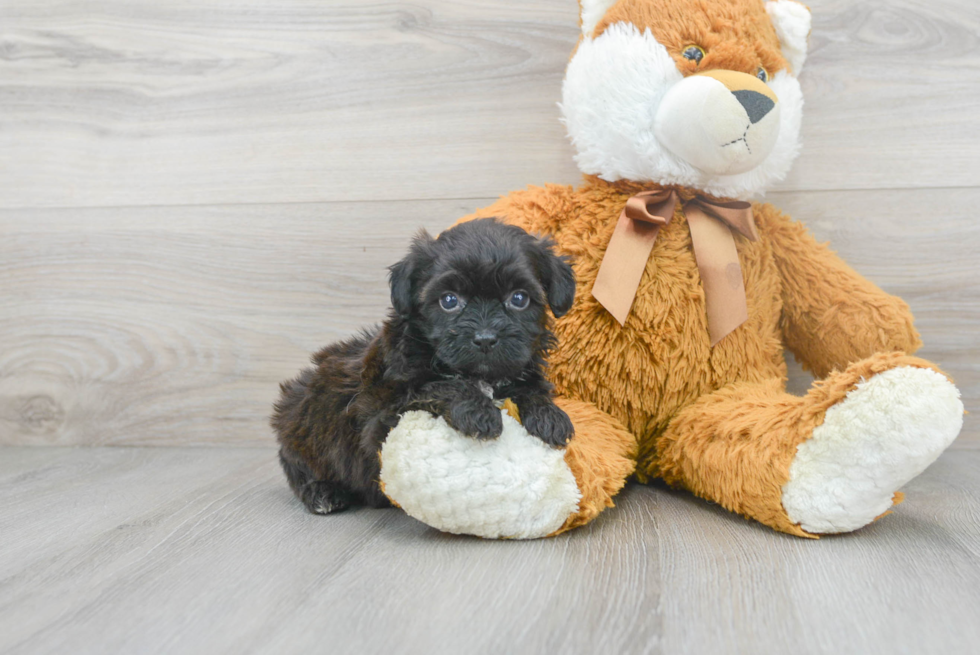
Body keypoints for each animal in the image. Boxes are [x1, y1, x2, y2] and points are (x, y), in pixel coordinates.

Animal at [270, 218, 576, 516]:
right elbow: (439, 386)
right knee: (297, 467)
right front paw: (478, 412)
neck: (480, 375)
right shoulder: (383, 414)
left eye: (519, 298)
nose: (486, 338)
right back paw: (322, 493)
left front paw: (550, 417)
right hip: (299, 425)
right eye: (449, 300)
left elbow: (531, 388)